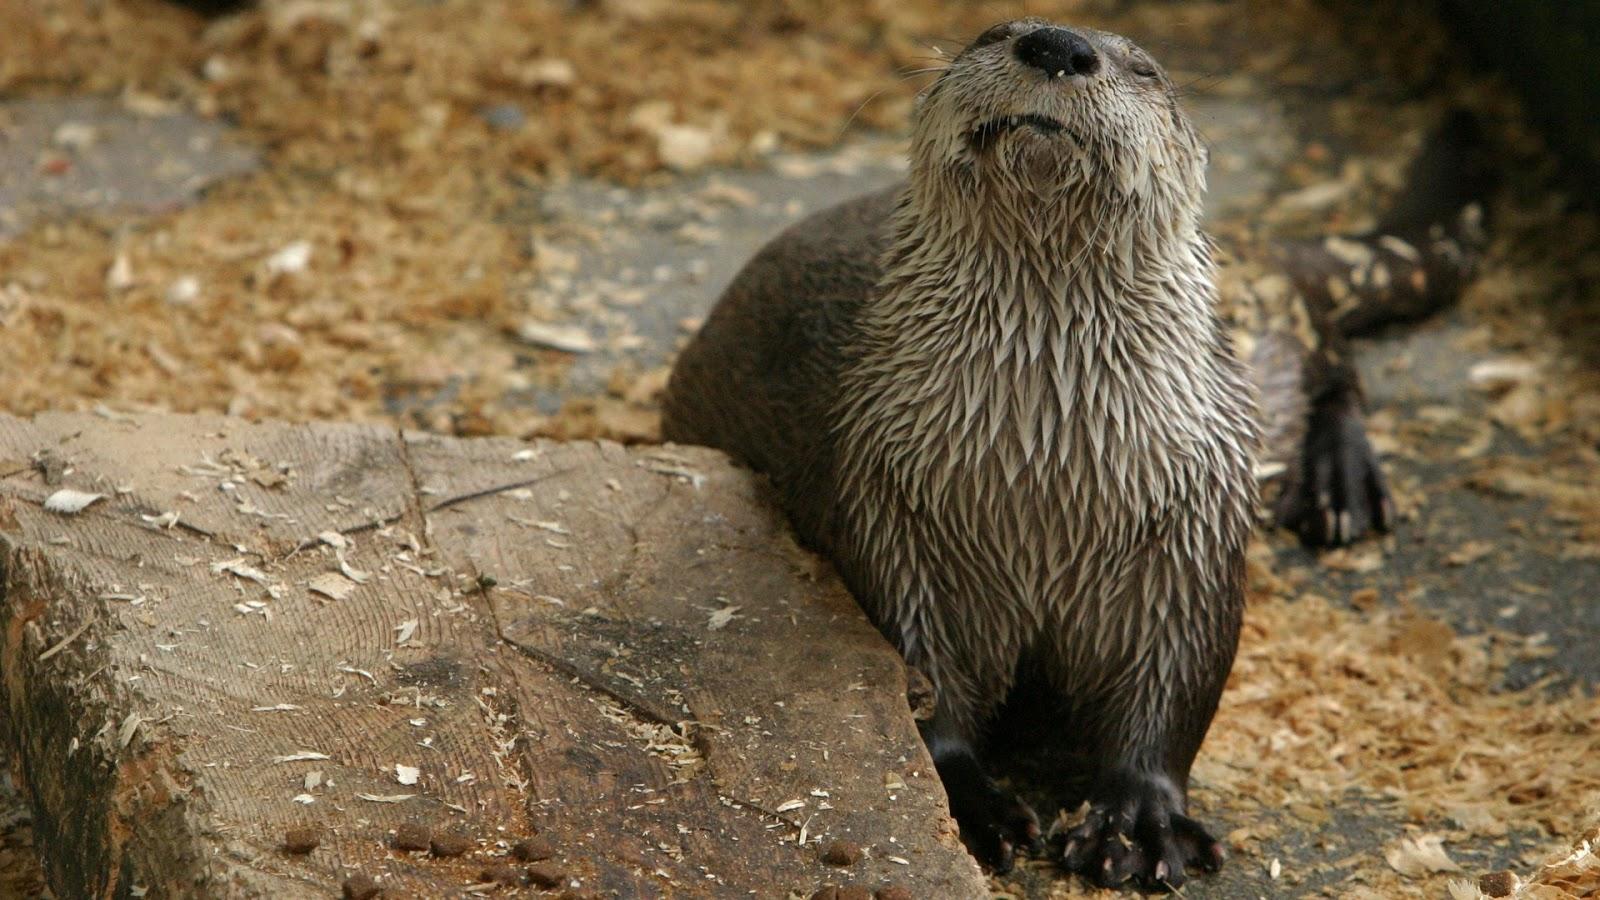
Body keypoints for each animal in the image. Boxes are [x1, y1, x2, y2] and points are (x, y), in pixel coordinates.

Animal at [661, 18, 1491, 889]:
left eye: (1147, 68)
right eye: (992, 33)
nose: (1058, 44)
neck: (1044, 484)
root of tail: (1257, 239)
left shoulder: (1192, 529)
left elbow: (1178, 686)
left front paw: (1140, 821)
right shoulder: (888, 512)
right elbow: (917, 683)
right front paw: (968, 804)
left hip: (1272, 323)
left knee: (1337, 362)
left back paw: (1343, 482)